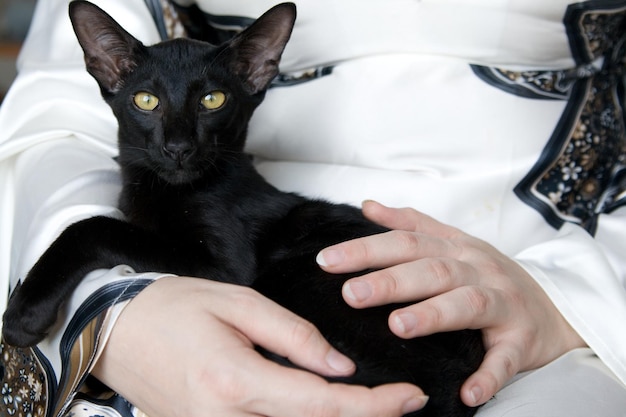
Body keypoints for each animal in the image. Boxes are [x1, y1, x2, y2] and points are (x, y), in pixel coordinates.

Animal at [1, 2, 482, 412]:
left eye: (213, 100)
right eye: (146, 100)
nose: (178, 147)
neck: (170, 189)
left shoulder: (223, 270)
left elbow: (97, 226)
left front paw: (25, 312)